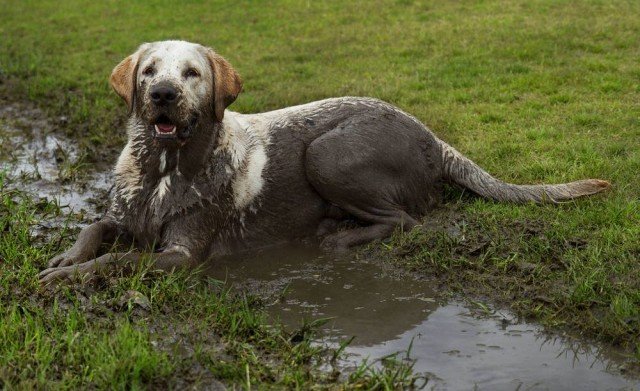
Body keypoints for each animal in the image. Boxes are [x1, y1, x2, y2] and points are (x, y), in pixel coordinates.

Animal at [38, 39, 608, 286]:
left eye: (192, 74)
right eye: (149, 70)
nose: (161, 95)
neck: (163, 168)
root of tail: (431, 136)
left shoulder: (183, 253)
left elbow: (119, 260)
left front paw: (74, 275)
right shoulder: (122, 214)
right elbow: (93, 229)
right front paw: (67, 259)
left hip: (326, 155)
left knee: (405, 220)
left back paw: (337, 236)